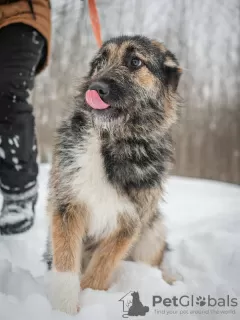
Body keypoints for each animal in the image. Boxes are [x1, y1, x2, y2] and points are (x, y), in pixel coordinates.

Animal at [45, 35, 182, 316]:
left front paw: (90, 298)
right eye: (100, 62)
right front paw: (64, 310)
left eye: (135, 62)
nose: (95, 88)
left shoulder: (130, 225)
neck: (112, 140)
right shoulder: (67, 206)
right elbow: (66, 264)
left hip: (153, 232)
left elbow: (101, 268)